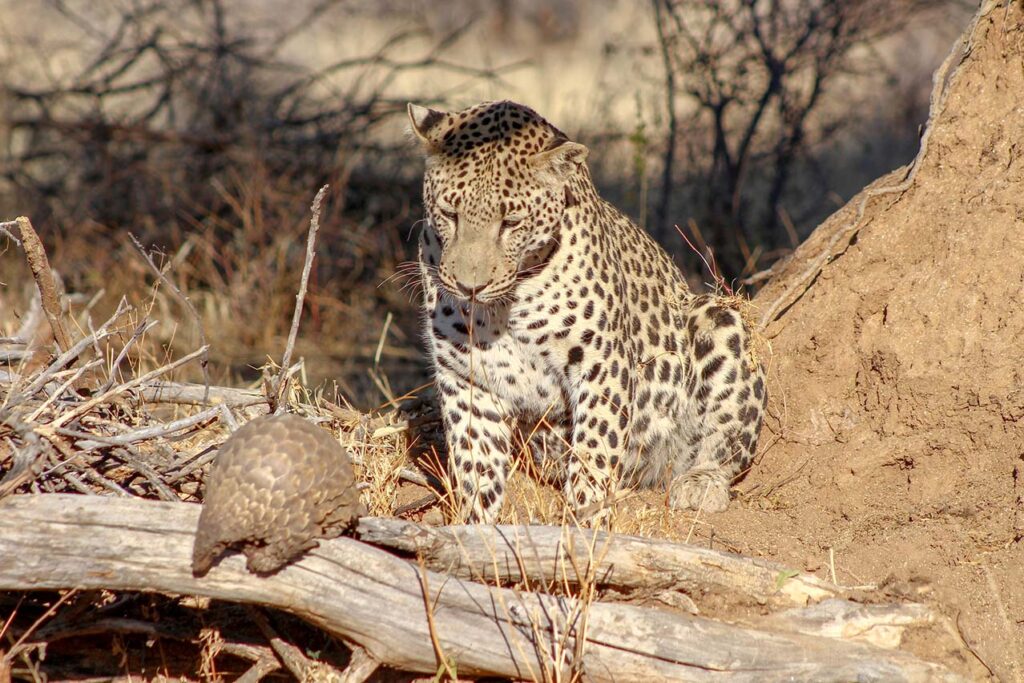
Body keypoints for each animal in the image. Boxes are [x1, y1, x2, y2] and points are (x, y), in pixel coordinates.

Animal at [403, 98, 765, 520]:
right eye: (449, 214)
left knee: (727, 441)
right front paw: (476, 522)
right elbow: (475, 462)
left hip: (717, 319)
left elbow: (596, 444)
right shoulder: (467, 375)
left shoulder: (602, 361)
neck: (506, 308)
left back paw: (700, 483)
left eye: (511, 222)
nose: (468, 287)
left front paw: (586, 516)